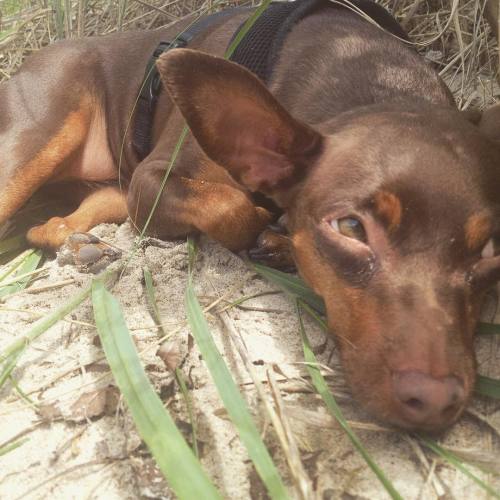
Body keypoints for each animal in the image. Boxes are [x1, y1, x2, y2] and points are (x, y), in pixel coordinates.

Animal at [0, 0, 500, 432]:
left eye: (491, 250)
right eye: (351, 228)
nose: (435, 399)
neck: (372, 78)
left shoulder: (135, 192)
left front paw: (280, 240)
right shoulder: (152, 183)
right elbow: (237, 210)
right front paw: (272, 233)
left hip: (107, 188)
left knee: (56, 220)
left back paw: (72, 241)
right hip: (37, 141)